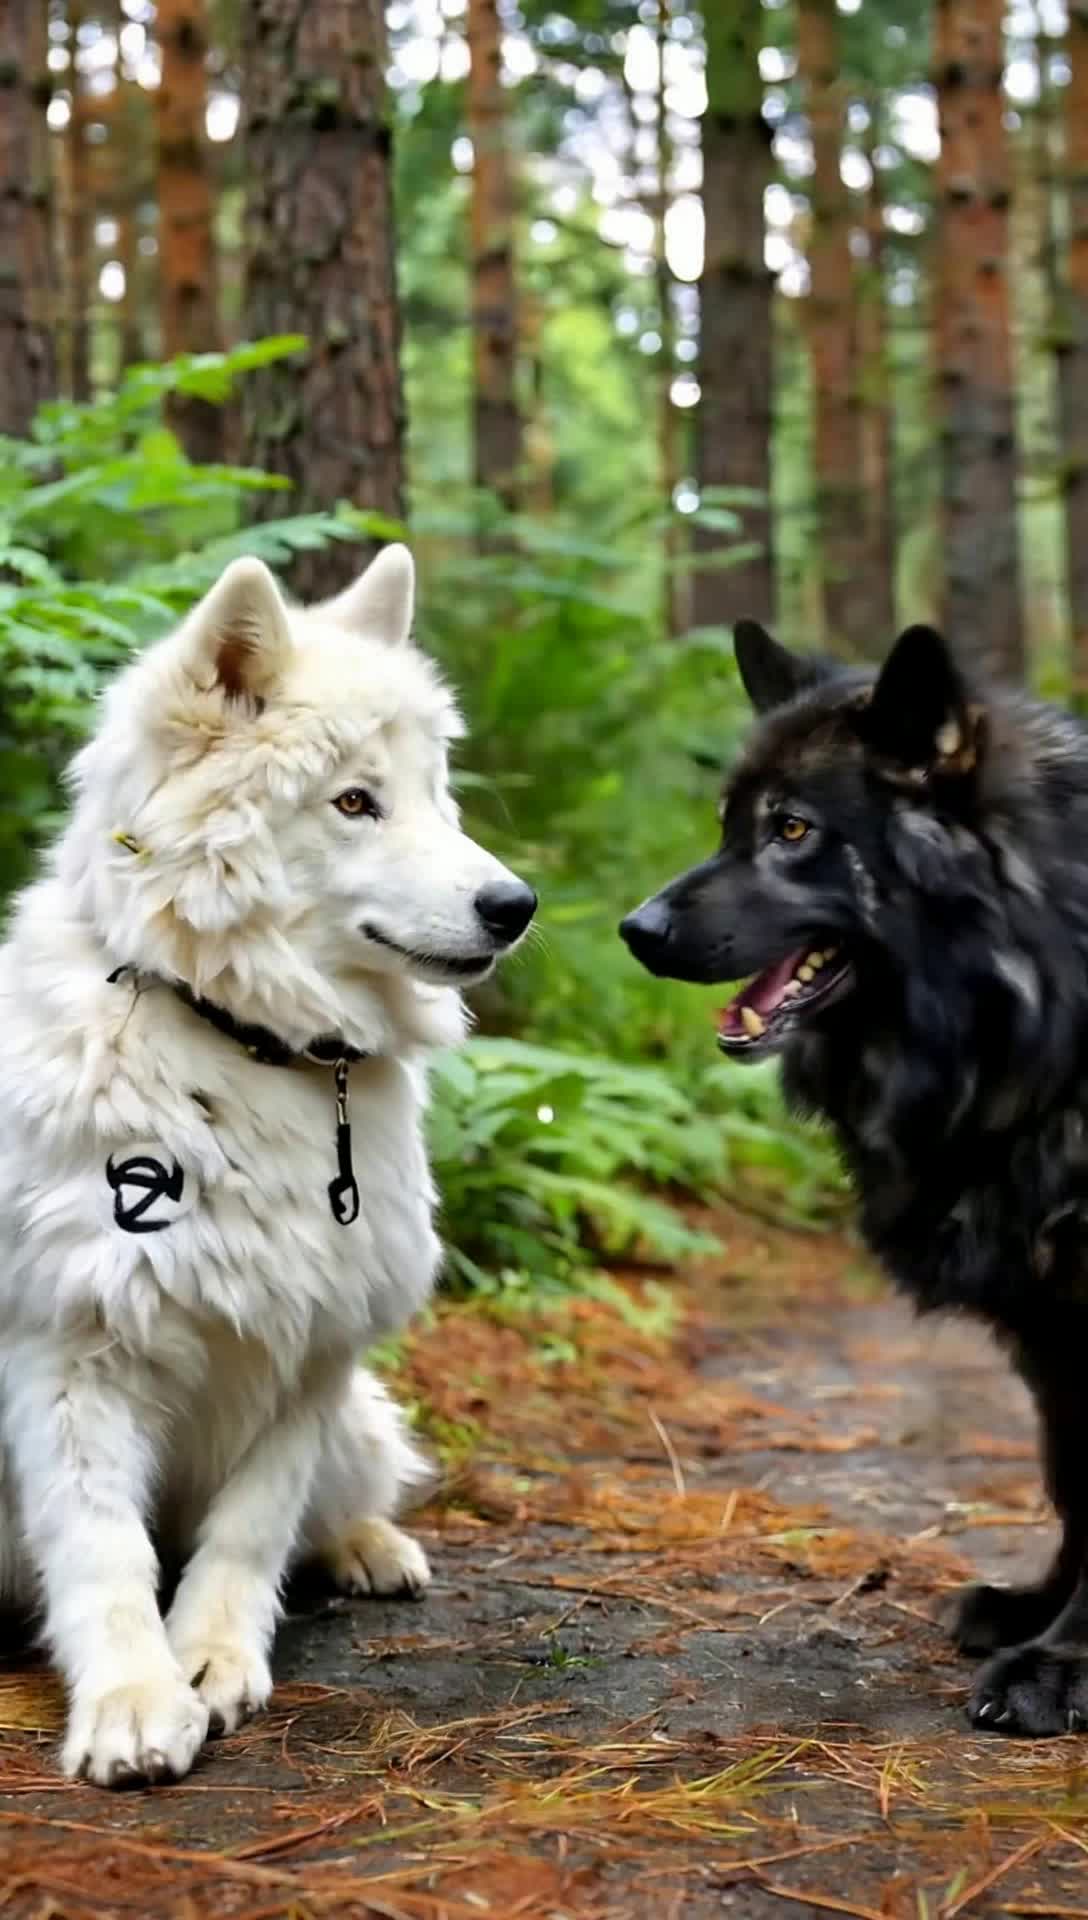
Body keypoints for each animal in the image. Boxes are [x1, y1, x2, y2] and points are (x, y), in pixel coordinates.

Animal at [0, 544, 536, 1785]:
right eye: (352, 801)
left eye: (434, 792)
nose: (515, 906)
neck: (242, 1043)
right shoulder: (68, 1351)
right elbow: (102, 1551)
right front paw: (135, 1700)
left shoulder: (312, 1352)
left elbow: (249, 1529)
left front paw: (209, 1658)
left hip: (360, 1419)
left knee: (343, 1497)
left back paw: (368, 1545)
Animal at [622, 618, 1088, 1737]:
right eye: (726, 824)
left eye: (792, 830)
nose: (635, 930)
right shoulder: (1050, 1327)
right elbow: (1076, 1486)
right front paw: (1034, 1612)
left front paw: (1061, 1666)